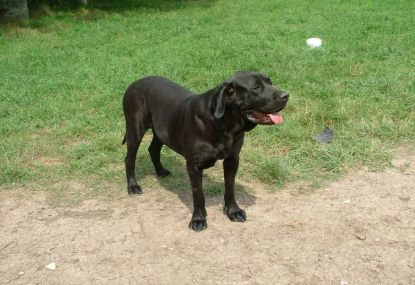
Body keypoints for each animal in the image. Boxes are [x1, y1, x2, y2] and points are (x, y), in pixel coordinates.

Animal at [122, 71, 288, 231]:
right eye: (256, 87)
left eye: (270, 82)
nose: (286, 95)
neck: (225, 125)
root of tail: (135, 83)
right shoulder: (194, 165)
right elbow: (198, 194)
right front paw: (198, 219)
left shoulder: (232, 159)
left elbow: (230, 187)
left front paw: (233, 211)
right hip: (135, 130)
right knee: (129, 158)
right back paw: (133, 186)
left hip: (161, 131)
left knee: (153, 149)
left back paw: (161, 171)